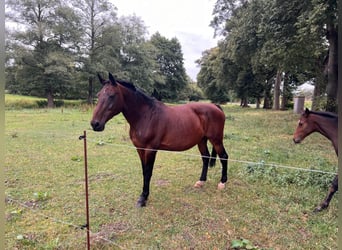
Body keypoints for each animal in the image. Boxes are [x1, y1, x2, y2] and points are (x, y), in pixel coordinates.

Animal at [91, 72, 230, 207]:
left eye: (112, 95)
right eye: (98, 95)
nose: (95, 124)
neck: (146, 116)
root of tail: (215, 106)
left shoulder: (151, 149)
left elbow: (148, 172)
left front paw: (143, 198)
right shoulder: (140, 149)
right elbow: (144, 170)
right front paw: (143, 196)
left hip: (216, 140)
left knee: (224, 156)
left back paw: (222, 183)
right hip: (201, 140)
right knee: (205, 157)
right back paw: (201, 182)